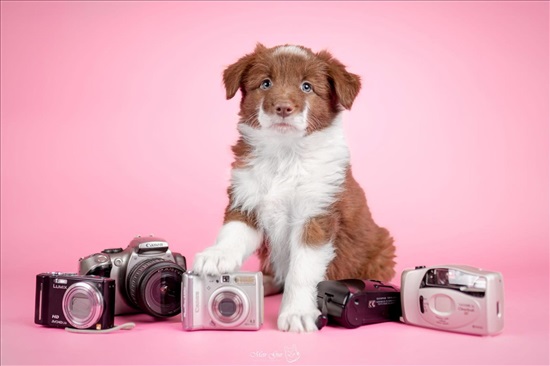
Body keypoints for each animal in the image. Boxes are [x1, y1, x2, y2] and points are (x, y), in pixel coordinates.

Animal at [194, 44, 396, 334]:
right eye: (266, 83)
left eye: (307, 87)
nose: (282, 107)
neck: (285, 155)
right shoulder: (246, 199)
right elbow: (232, 233)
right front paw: (216, 255)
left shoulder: (315, 216)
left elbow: (302, 271)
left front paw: (297, 312)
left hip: (381, 250)